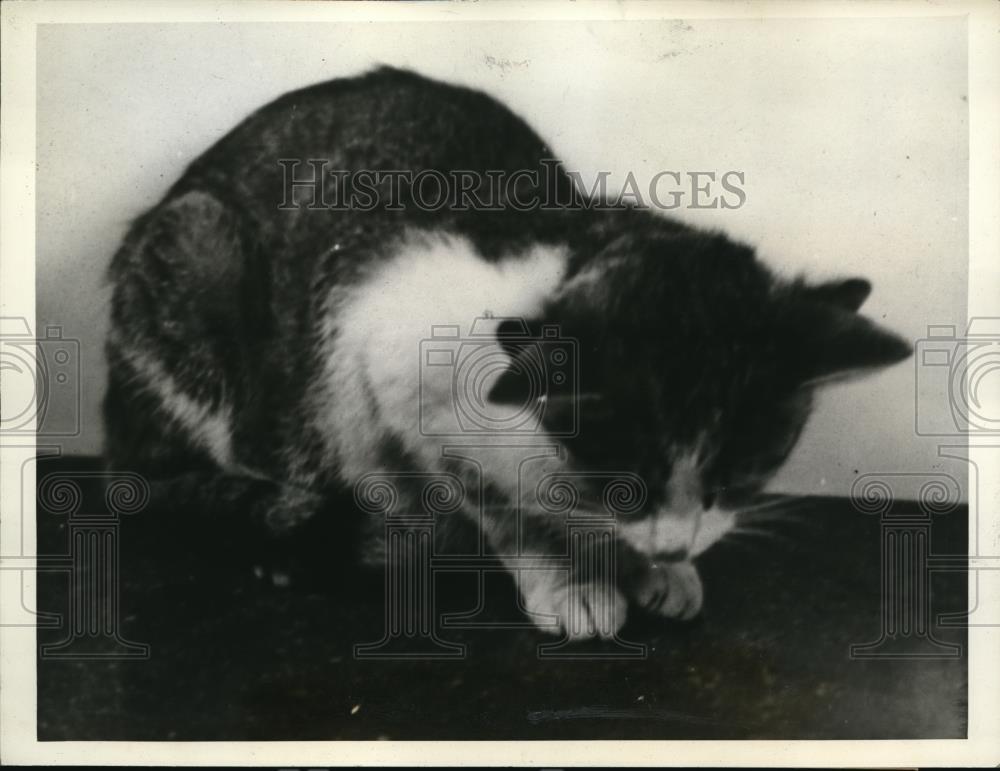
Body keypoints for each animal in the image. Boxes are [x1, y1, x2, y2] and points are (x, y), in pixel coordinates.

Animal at [103, 68, 916, 640]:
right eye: (627, 479)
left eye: (742, 477)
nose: (675, 546)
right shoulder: (390, 365)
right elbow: (503, 509)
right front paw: (570, 578)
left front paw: (654, 567)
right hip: (199, 258)